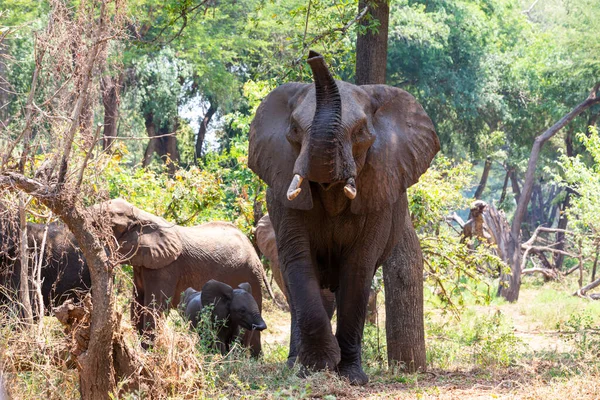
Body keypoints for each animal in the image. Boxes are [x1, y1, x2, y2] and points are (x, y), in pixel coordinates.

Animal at [100, 198, 274, 354]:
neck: (140, 214)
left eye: (111, 226)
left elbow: (155, 306)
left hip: (252, 275)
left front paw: (149, 354)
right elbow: (137, 306)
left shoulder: (166, 267)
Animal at [248, 51, 440, 382]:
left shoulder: (379, 190)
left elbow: (359, 266)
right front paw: (316, 367)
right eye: (294, 130)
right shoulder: (283, 192)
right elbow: (300, 260)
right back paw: (294, 364)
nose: (314, 54)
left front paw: (350, 376)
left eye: (360, 132)